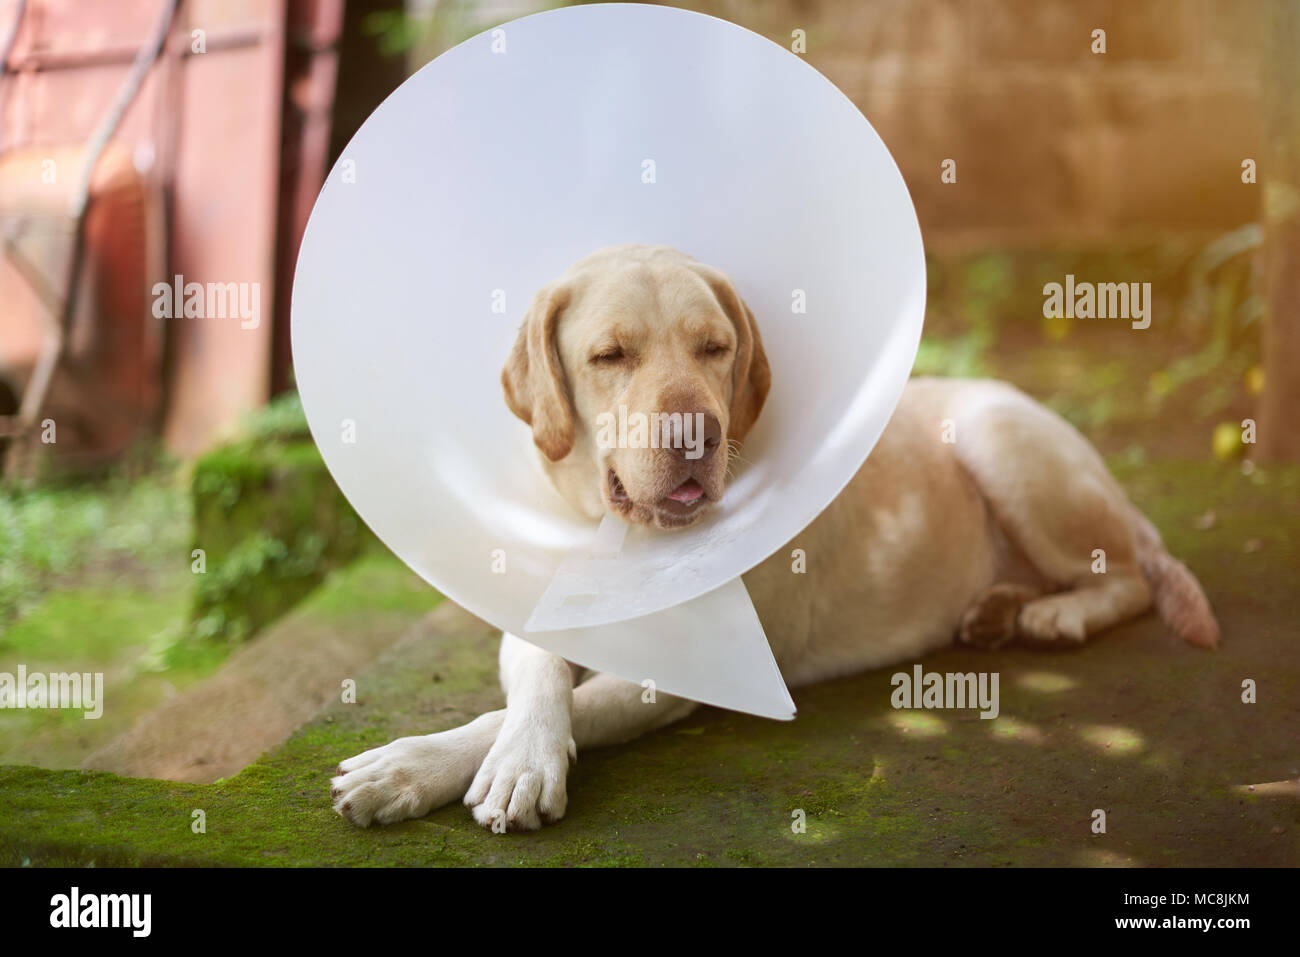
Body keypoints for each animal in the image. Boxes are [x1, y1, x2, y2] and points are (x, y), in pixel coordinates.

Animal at [332, 244, 1216, 832]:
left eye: (714, 347)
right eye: (609, 355)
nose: (695, 434)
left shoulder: (682, 676)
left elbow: (548, 708)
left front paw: (458, 765)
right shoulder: (542, 620)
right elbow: (537, 682)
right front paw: (458, 758)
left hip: (1001, 439)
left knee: (1132, 571)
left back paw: (1056, 613)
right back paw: (997, 606)